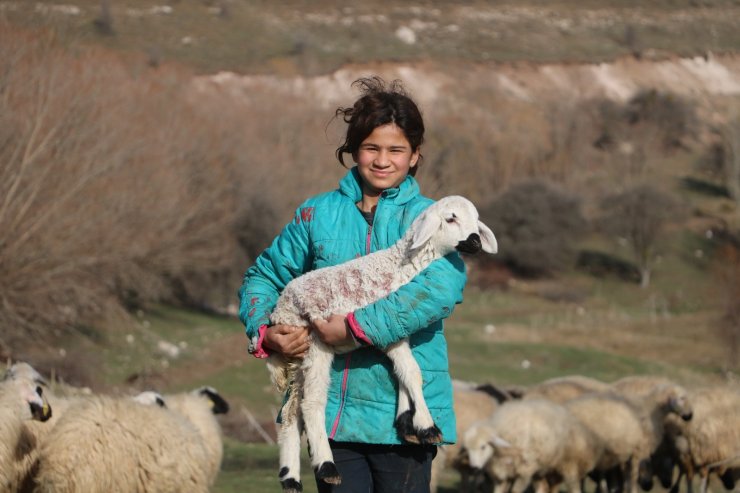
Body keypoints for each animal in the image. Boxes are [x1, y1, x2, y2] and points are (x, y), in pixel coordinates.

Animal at [266, 194, 498, 490]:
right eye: (451, 218)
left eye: (476, 221)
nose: (476, 241)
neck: (402, 266)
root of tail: (280, 309)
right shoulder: (386, 332)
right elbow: (413, 373)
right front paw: (427, 426)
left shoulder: (393, 330)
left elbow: (402, 373)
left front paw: (406, 423)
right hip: (314, 345)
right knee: (311, 405)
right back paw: (326, 465)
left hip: (298, 357)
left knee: (290, 413)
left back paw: (291, 477)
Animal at [460, 398, 604, 492]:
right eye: (467, 449)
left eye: (483, 446)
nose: (474, 468)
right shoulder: (502, 474)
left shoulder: (525, 471)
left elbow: (515, 491)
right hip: (547, 470)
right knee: (546, 488)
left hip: (570, 466)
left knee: (574, 488)